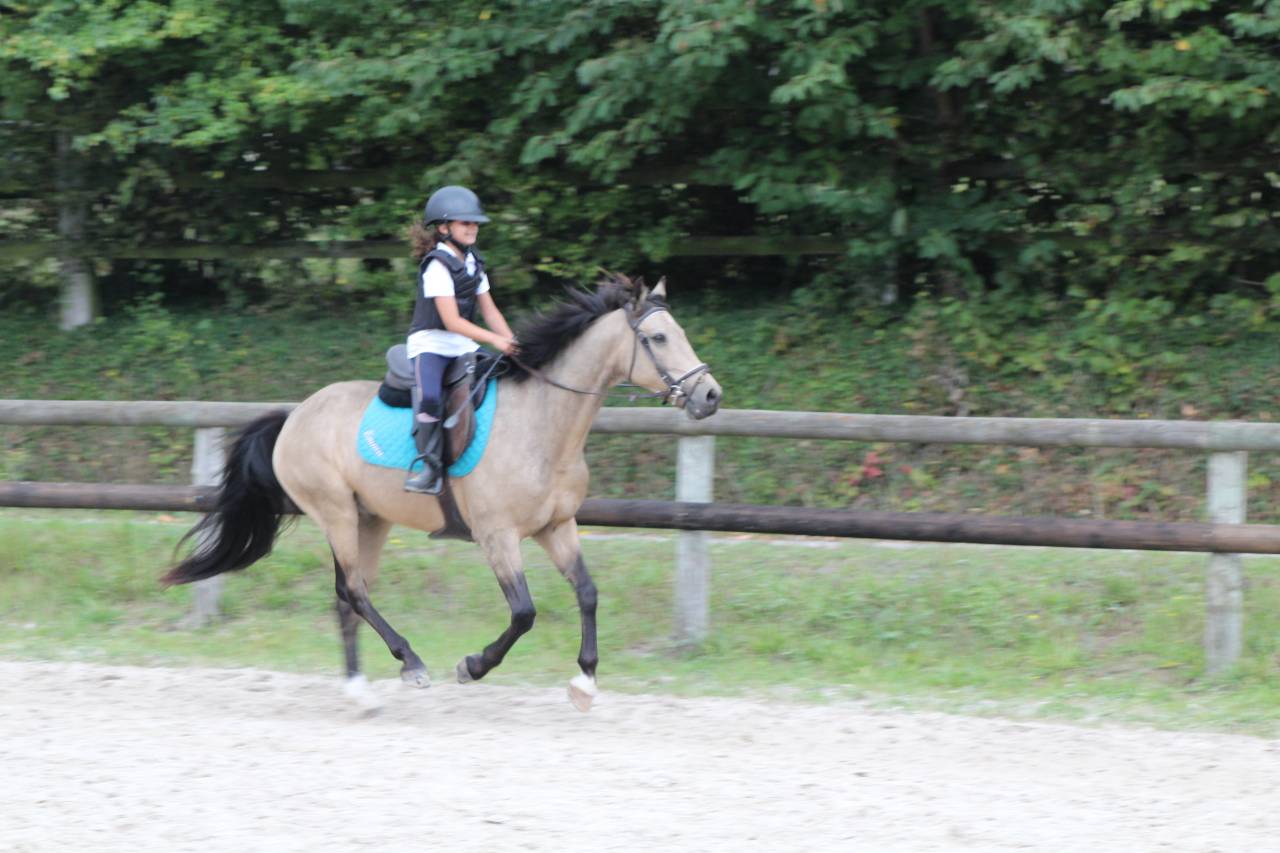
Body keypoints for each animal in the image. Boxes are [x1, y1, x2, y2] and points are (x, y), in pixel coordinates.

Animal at [163, 274, 722, 713]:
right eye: (657, 337)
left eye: (681, 334)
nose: (711, 395)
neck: (543, 425)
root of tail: (295, 414)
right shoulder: (498, 536)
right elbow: (524, 613)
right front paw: (472, 665)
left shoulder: (556, 526)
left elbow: (587, 592)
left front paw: (584, 682)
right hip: (336, 514)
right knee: (355, 592)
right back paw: (405, 666)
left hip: (371, 519)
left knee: (348, 596)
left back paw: (363, 687)